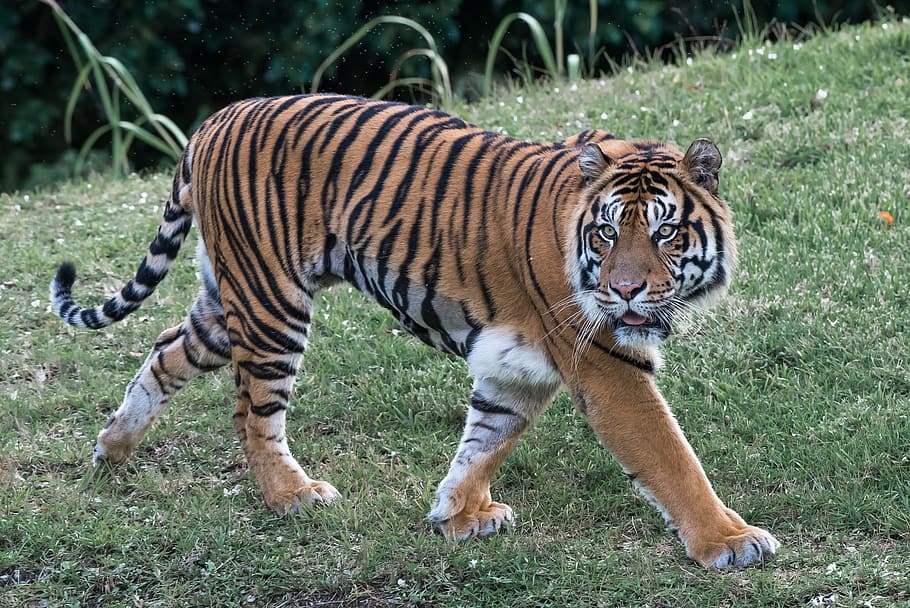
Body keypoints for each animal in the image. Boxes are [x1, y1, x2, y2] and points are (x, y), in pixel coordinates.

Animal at [50, 93, 779, 568]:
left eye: (665, 232)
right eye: (606, 232)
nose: (625, 290)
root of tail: (211, 122)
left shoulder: (516, 366)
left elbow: (486, 438)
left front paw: (459, 514)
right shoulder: (606, 364)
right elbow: (670, 456)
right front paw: (729, 542)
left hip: (228, 303)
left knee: (165, 351)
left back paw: (112, 452)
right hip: (271, 305)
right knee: (252, 413)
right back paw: (292, 496)